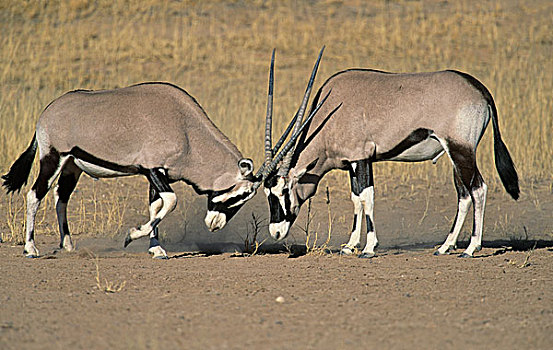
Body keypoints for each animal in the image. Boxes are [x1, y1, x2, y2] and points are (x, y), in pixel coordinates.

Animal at [2, 81, 260, 258]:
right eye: (240, 194)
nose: (216, 225)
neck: (186, 129)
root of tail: (47, 112)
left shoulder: (158, 176)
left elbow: (156, 208)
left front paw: (156, 249)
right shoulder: (153, 169)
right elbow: (171, 202)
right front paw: (131, 236)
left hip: (72, 166)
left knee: (61, 197)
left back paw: (67, 245)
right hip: (53, 158)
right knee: (34, 195)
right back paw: (30, 248)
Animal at [262, 62, 516, 258]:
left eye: (283, 192)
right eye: (267, 193)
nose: (276, 232)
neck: (330, 115)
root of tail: (479, 89)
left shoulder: (362, 158)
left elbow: (366, 198)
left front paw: (369, 248)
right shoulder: (352, 163)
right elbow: (356, 199)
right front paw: (350, 246)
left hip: (461, 150)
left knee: (478, 189)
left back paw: (471, 248)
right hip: (455, 155)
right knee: (463, 194)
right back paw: (445, 247)